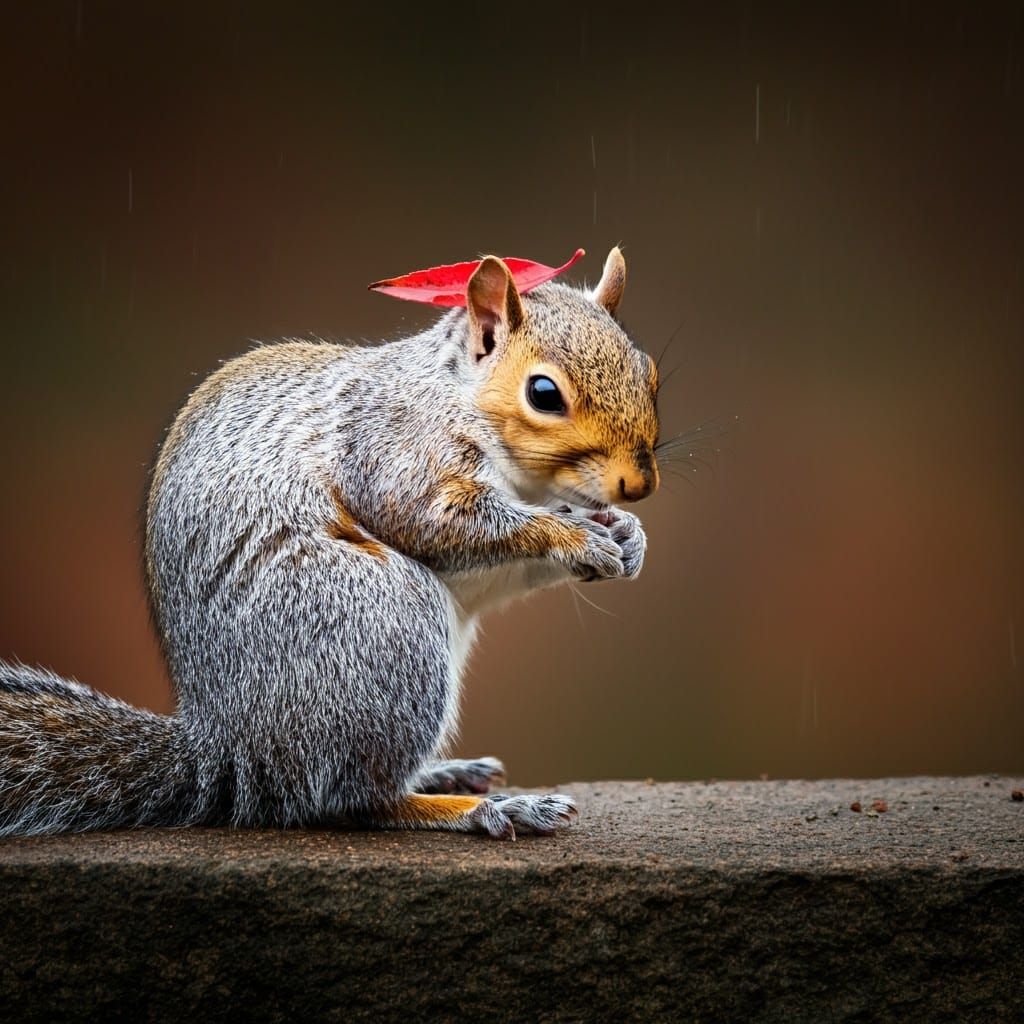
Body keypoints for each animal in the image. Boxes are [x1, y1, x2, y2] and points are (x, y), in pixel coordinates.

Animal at [0, 247, 659, 840]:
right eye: (544, 394)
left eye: (649, 372)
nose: (638, 485)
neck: (458, 397)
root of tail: (231, 755)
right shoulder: (394, 451)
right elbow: (439, 523)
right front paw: (573, 535)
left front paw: (626, 536)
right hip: (382, 627)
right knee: (353, 801)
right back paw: (483, 810)